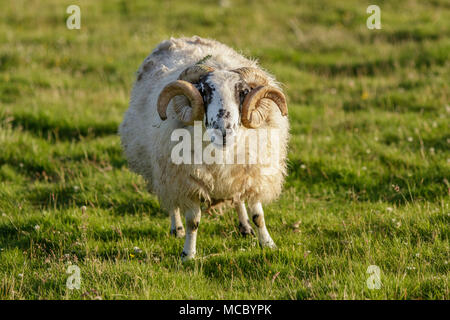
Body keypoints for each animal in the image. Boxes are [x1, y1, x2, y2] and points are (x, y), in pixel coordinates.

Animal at [118, 36, 288, 260]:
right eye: (204, 91)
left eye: (243, 92)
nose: (223, 130)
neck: (221, 154)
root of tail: (180, 38)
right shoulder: (187, 182)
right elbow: (193, 222)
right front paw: (188, 254)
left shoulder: (252, 174)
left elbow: (258, 215)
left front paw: (268, 244)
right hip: (164, 171)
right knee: (172, 203)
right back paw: (177, 228)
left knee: (238, 198)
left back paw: (244, 227)